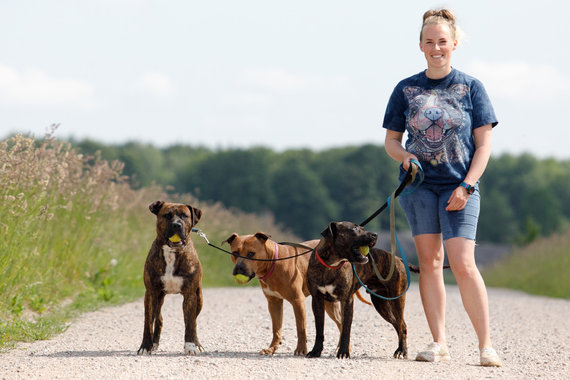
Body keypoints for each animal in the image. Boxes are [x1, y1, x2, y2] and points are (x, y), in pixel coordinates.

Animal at [136, 203, 203, 354]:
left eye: (184, 216)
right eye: (167, 215)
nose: (177, 224)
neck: (172, 251)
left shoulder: (190, 295)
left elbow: (190, 323)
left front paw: (191, 346)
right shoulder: (151, 293)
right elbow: (147, 323)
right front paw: (145, 346)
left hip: (199, 298)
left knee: (194, 322)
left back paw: (197, 344)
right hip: (159, 298)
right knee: (158, 319)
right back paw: (154, 344)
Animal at [306, 221, 418, 358]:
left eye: (362, 228)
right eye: (354, 228)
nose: (375, 234)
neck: (331, 264)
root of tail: (398, 259)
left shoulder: (347, 301)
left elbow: (346, 329)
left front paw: (343, 352)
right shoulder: (317, 301)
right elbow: (319, 329)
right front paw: (316, 351)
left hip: (397, 300)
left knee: (402, 326)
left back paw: (401, 350)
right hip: (381, 305)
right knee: (399, 325)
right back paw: (403, 350)